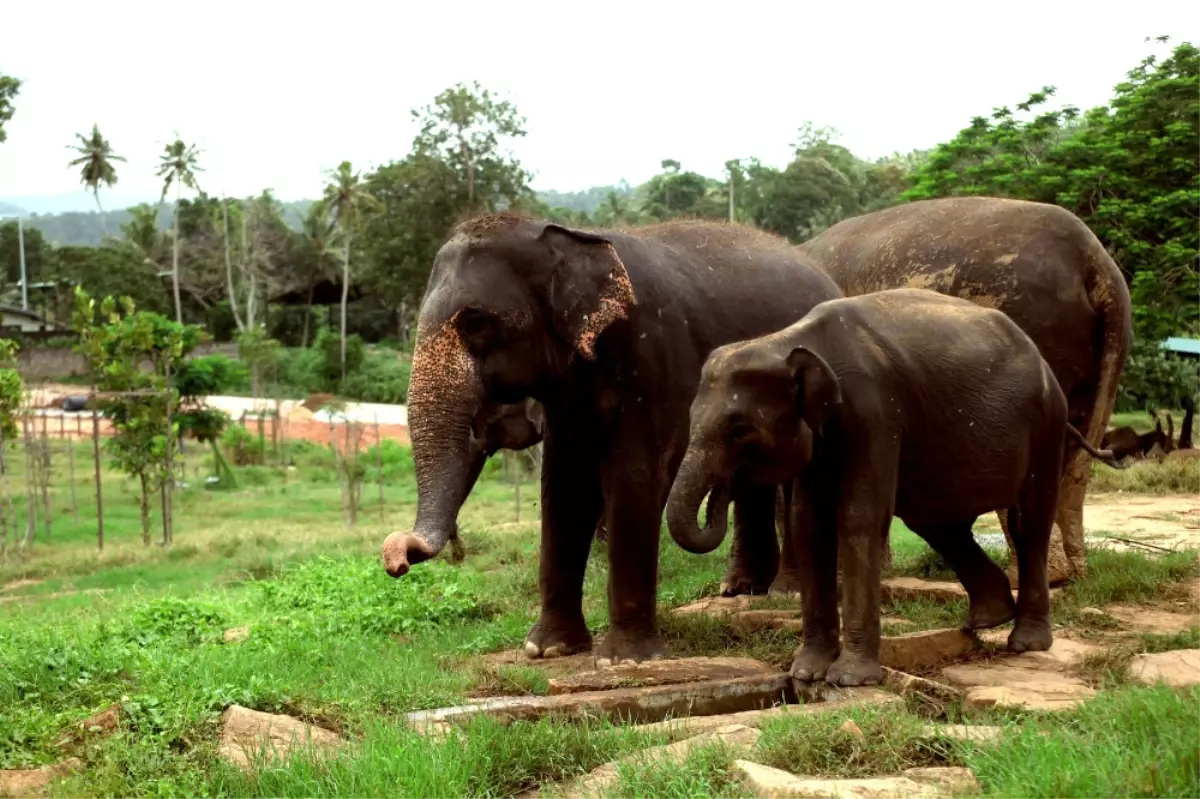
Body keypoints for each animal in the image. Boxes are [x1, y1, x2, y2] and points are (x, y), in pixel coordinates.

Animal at [379, 214, 840, 662]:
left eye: (475, 323)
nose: (396, 555)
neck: (561, 236)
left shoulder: (653, 358)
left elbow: (634, 475)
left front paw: (624, 660)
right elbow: (565, 485)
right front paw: (548, 649)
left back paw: (785, 590)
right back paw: (740, 589)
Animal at [667, 286, 1113, 686]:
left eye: (739, 430)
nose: (720, 495)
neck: (789, 339)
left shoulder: (875, 412)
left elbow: (859, 517)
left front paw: (849, 679)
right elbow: (808, 524)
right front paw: (806, 673)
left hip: (1046, 424)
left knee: (1028, 524)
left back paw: (1025, 643)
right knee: (937, 524)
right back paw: (987, 618)